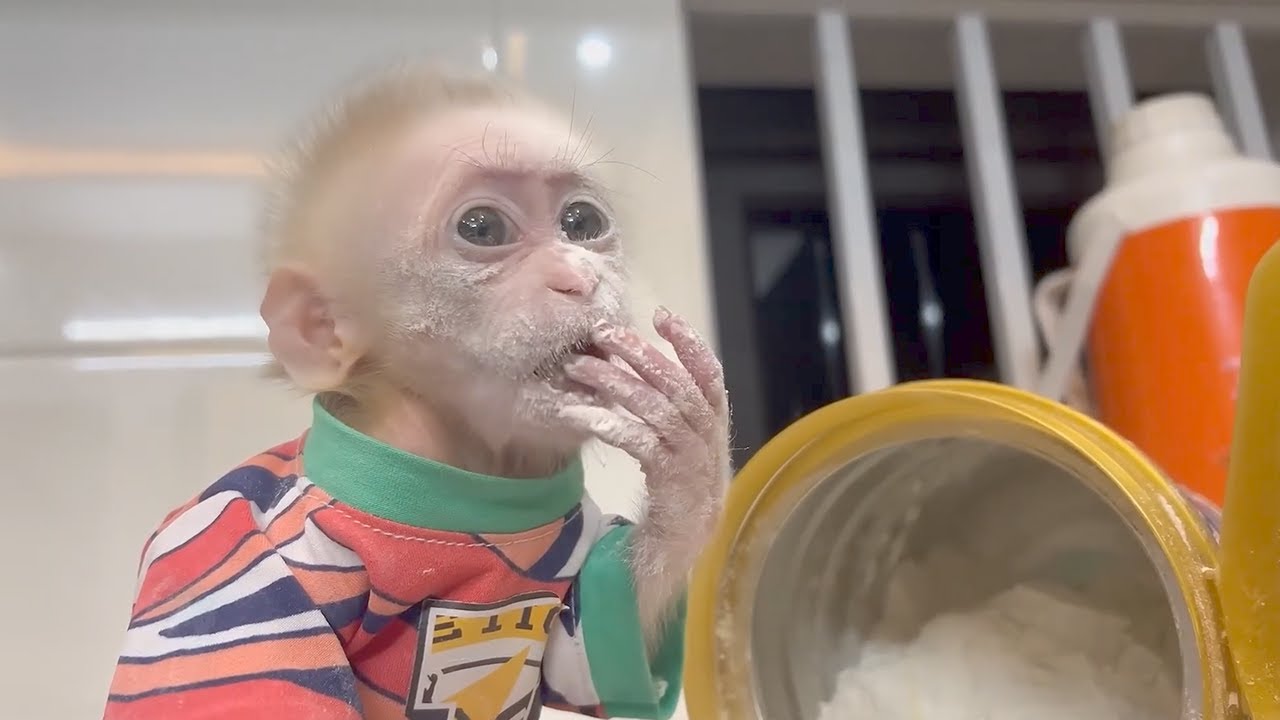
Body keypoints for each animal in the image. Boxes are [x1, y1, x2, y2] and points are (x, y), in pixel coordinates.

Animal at [103, 63, 729, 720]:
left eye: (581, 223)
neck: (453, 478)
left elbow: (577, 665)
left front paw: (689, 472)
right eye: (482, 227)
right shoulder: (226, 552)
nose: (579, 278)